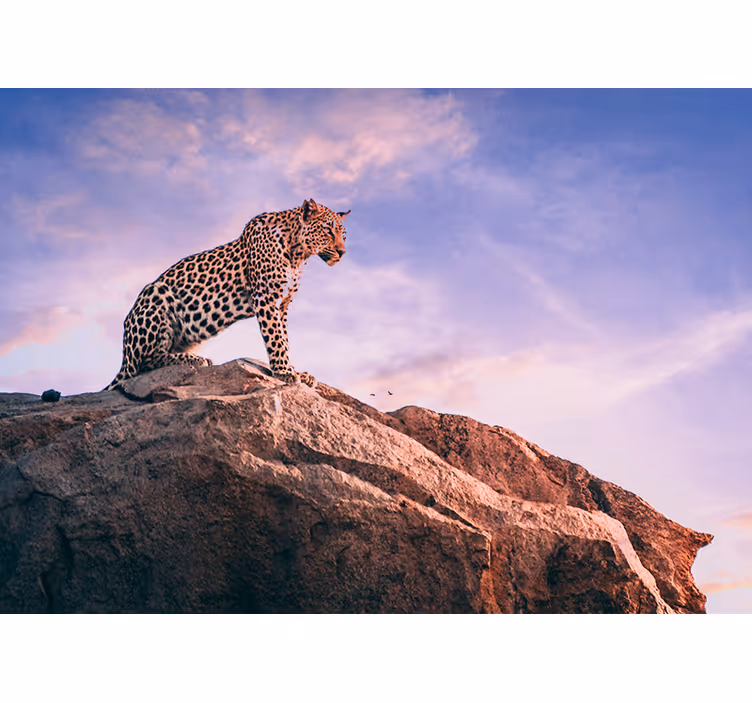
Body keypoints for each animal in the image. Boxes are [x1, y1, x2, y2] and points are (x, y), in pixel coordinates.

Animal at [105, 199, 350, 391]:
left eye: (343, 235)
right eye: (328, 230)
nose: (342, 252)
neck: (298, 255)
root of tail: (124, 358)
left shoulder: (283, 305)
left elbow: (285, 339)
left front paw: (296, 371)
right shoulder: (266, 298)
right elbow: (276, 339)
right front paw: (285, 372)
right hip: (155, 293)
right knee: (144, 364)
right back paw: (196, 359)